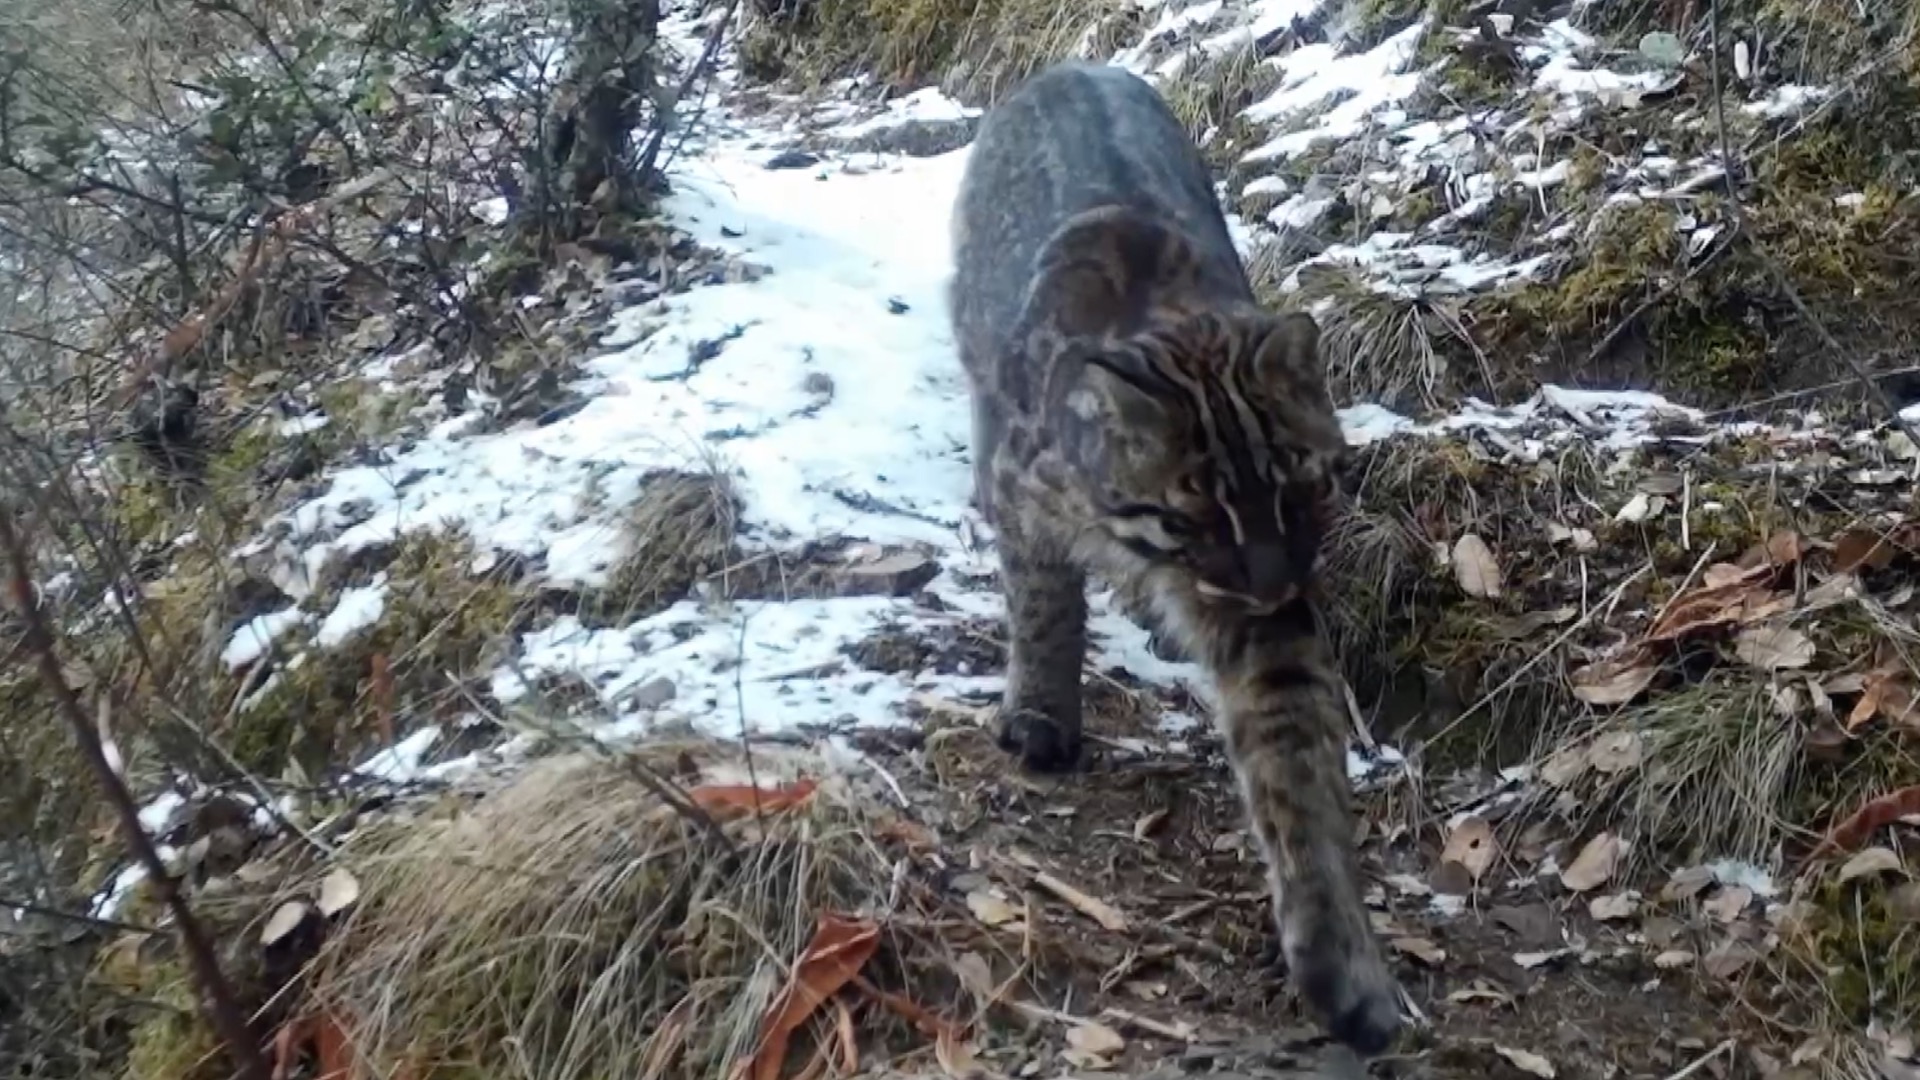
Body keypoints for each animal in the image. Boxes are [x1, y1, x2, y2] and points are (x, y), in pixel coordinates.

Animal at [948, 61, 1413, 1053]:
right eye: (1196, 516)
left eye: (1299, 489)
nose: (1272, 581)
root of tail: (1070, 65)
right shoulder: (1025, 491)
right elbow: (1044, 604)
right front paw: (1041, 713)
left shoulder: (1270, 624)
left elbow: (1296, 764)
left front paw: (1341, 959)